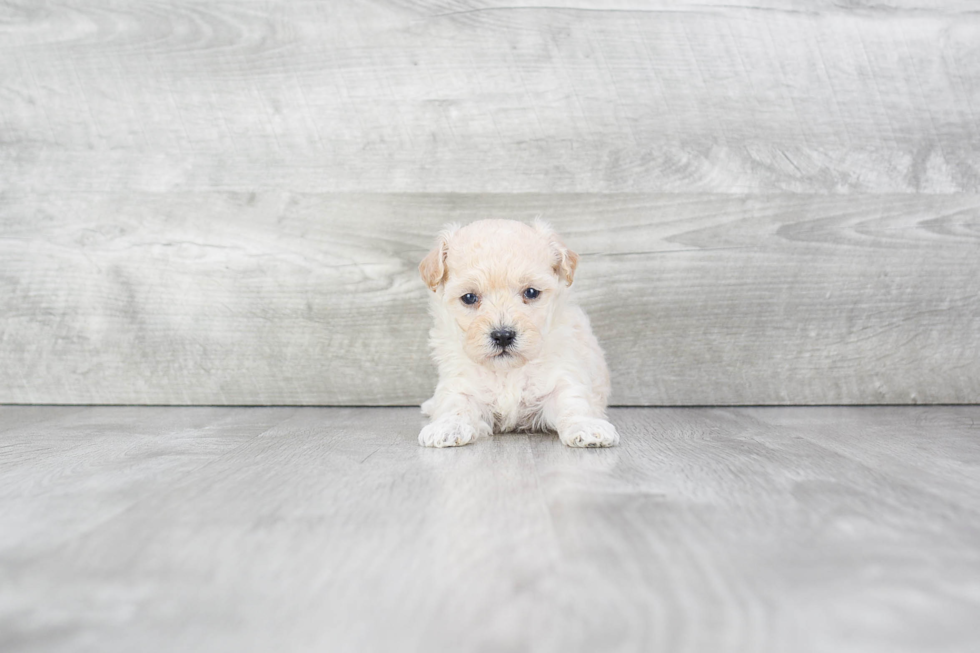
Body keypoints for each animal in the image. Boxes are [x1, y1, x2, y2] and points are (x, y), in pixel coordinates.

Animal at [416, 219, 616, 448]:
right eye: (469, 297)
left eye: (531, 292)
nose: (503, 335)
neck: (507, 371)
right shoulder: (461, 381)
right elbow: (455, 403)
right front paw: (448, 427)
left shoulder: (562, 375)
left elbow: (573, 403)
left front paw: (587, 426)